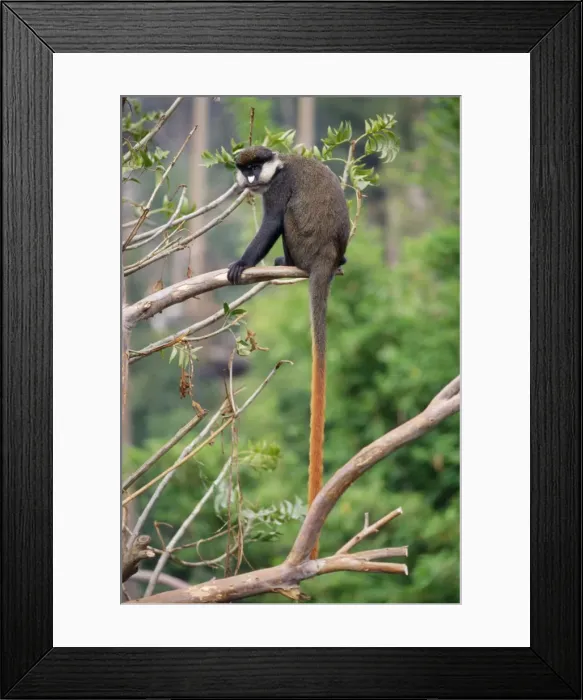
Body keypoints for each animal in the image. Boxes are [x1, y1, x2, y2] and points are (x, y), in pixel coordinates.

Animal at [227, 146, 350, 557]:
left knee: (285, 223)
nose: (250, 179)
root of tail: (326, 256)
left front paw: (243, 262)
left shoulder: (277, 188)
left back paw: (287, 263)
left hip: (299, 242)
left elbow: (271, 222)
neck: (279, 165)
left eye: (255, 166)